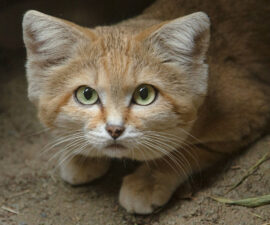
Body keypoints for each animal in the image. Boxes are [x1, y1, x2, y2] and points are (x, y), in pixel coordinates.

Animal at [21, 0, 270, 214]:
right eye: (87, 95)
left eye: (144, 95)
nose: (114, 130)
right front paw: (81, 154)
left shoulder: (252, 108)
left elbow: (184, 150)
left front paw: (147, 180)